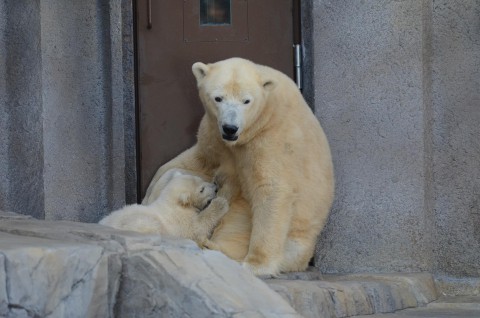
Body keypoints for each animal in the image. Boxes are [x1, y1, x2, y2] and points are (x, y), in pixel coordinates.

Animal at [100, 169, 229, 246]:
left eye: (202, 180)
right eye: (201, 189)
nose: (215, 188)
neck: (172, 203)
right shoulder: (179, 219)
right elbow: (197, 227)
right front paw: (221, 203)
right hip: (138, 223)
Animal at [144, 57, 336, 276]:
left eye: (246, 101)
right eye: (218, 98)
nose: (230, 128)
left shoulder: (272, 140)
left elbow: (271, 189)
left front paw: (256, 265)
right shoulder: (213, 132)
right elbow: (195, 161)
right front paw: (148, 199)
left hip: (286, 234)